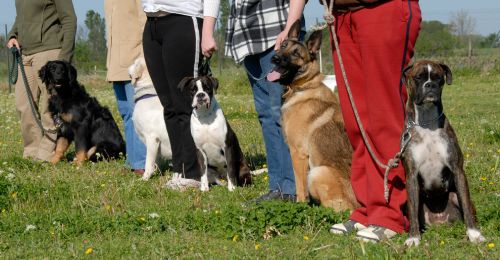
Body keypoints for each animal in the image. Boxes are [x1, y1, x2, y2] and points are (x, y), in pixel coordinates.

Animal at [268, 20, 358, 211]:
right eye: (284, 45)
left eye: (296, 54)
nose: (275, 58)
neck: (303, 86)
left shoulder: (298, 154)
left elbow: (300, 188)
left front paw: (299, 206)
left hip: (317, 172)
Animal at [402, 60, 484, 247]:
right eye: (418, 77)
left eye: (438, 78)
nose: (430, 85)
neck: (427, 122)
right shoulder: (411, 175)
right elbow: (412, 212)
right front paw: (413, 238)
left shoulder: (458, 170)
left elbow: (466, 206)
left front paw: (474, 234)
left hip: (454, 196)